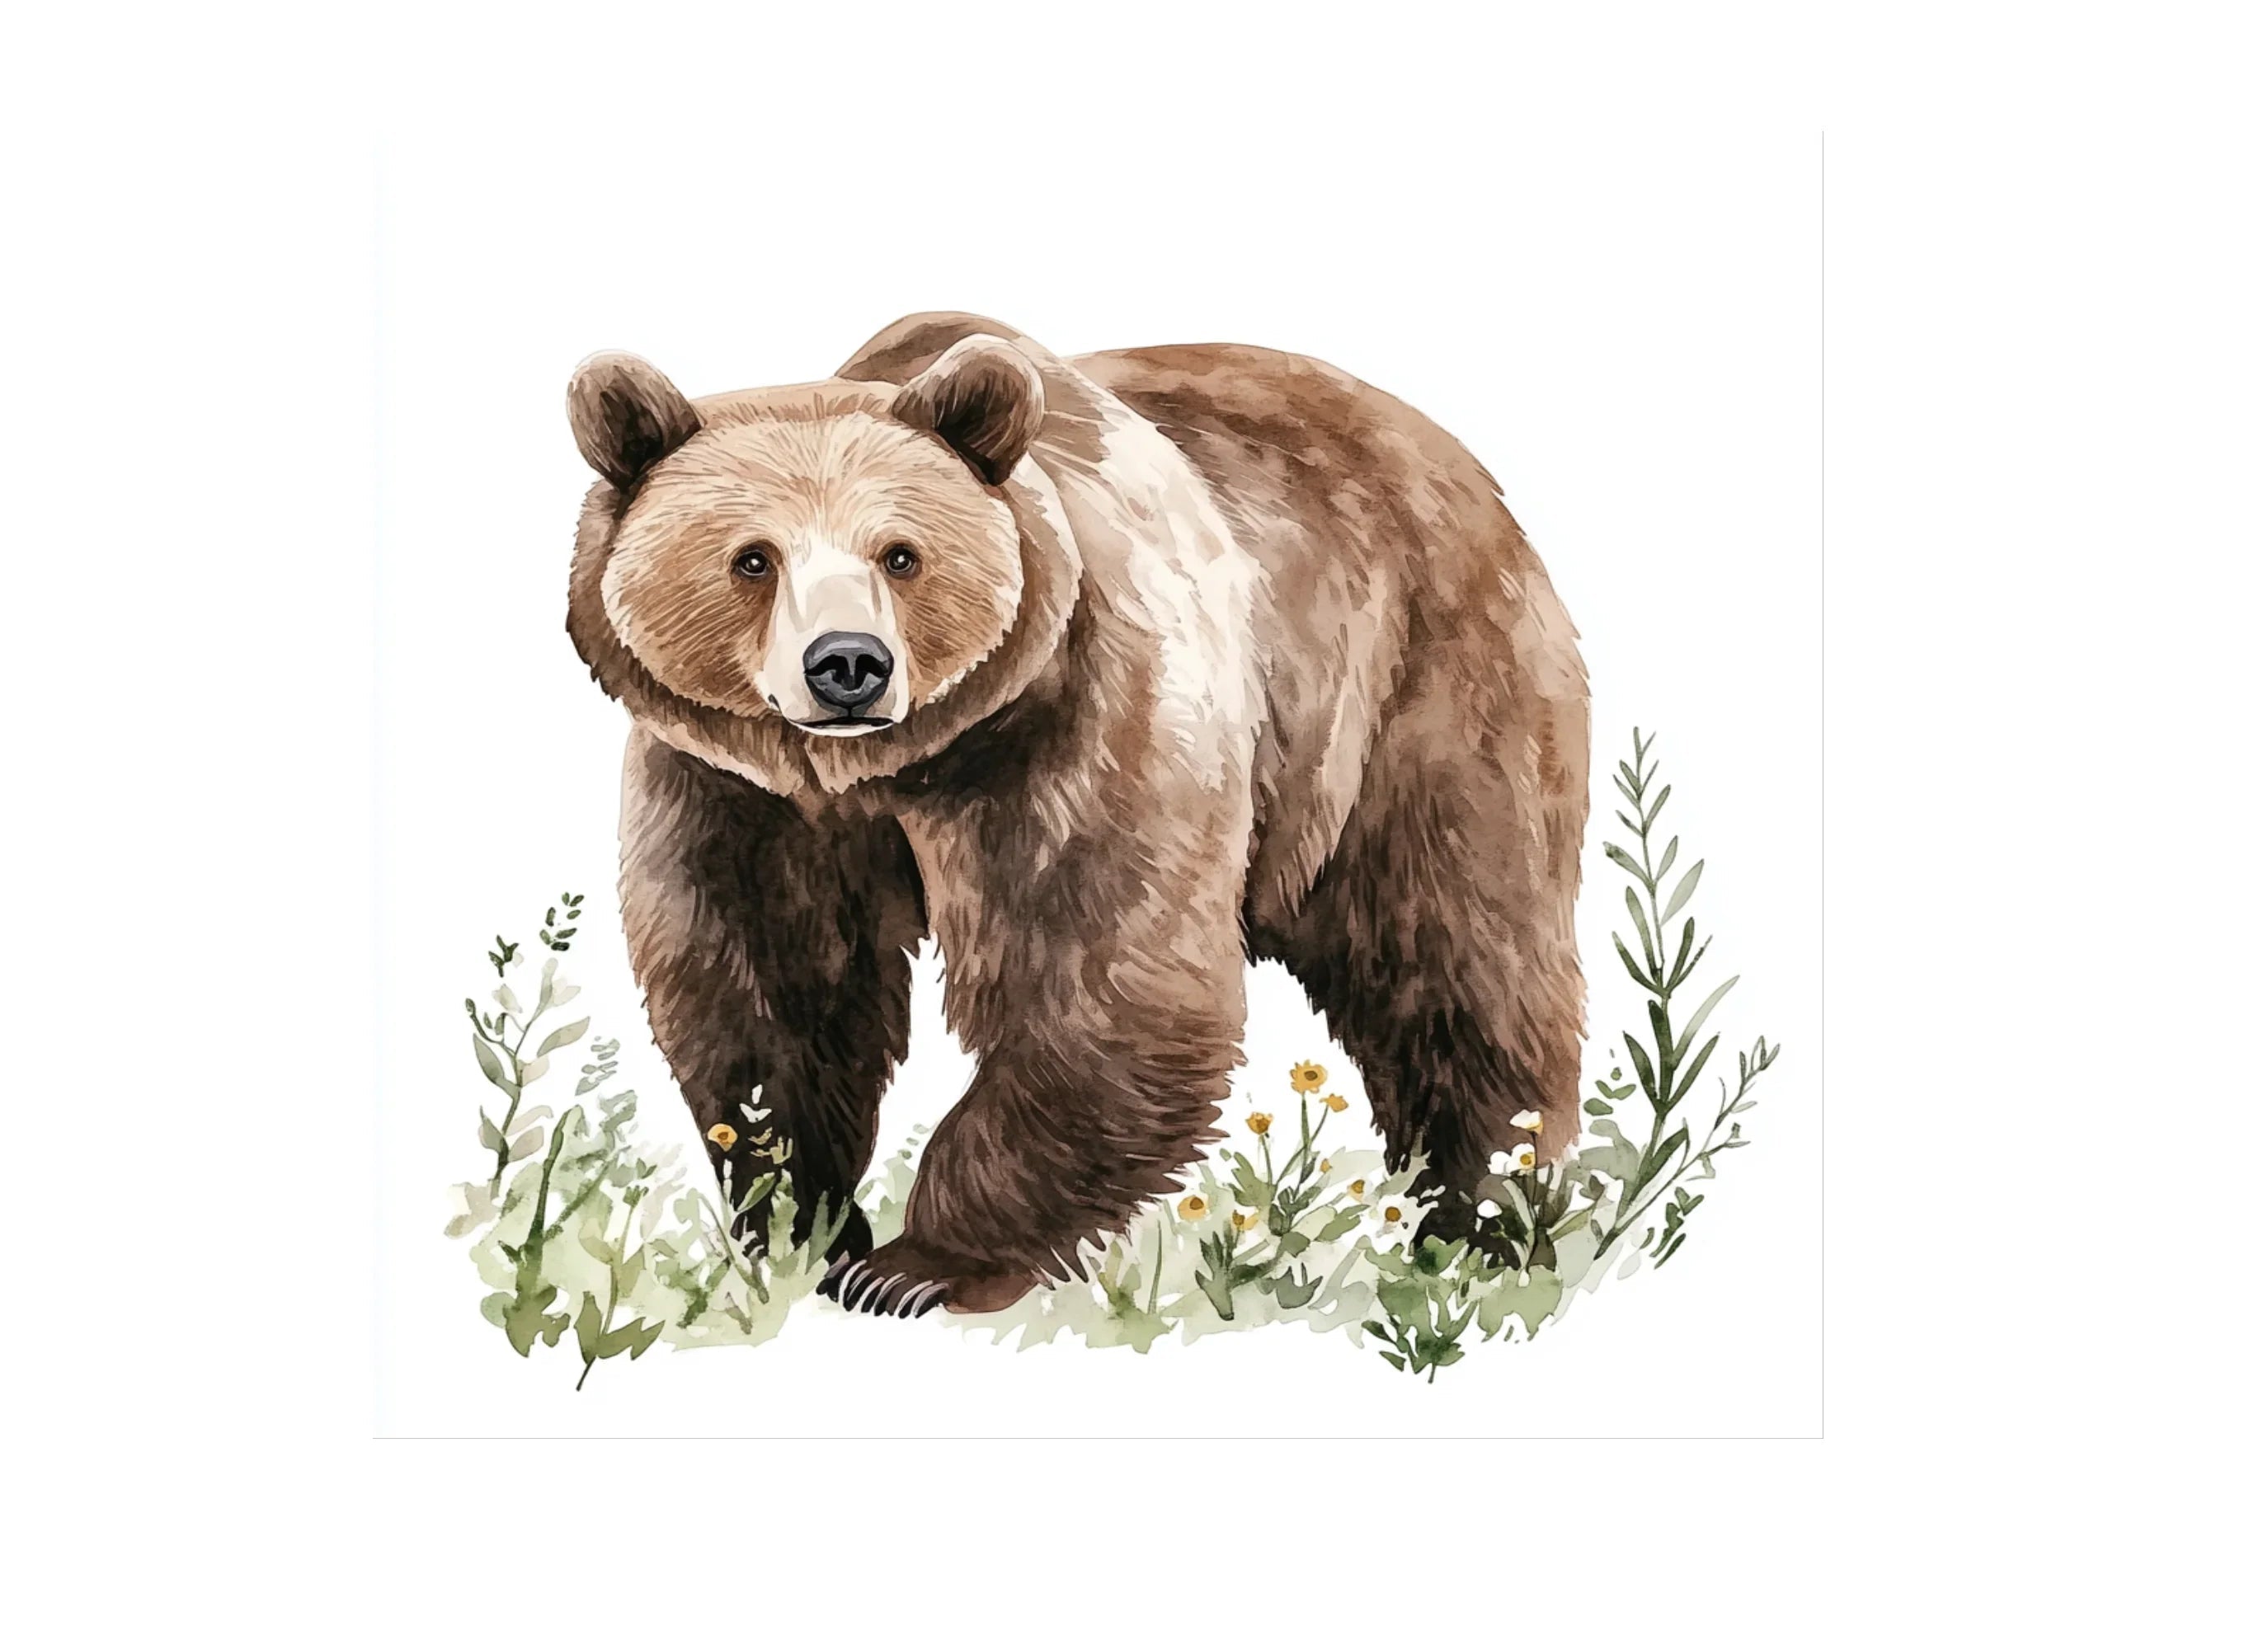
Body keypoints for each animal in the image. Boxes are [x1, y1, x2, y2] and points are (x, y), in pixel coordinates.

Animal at [564, 311, 1589, 1317]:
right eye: (751, 557)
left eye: (901, 553)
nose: (847, 663)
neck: (883, 766)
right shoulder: (738, 792)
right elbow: (770, 985)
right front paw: (798, 1221)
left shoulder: (1079, 717)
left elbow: (1100, 973)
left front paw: (915, 1264)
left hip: (1414, 698)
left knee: (1455, 955)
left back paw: (1479, 1219)